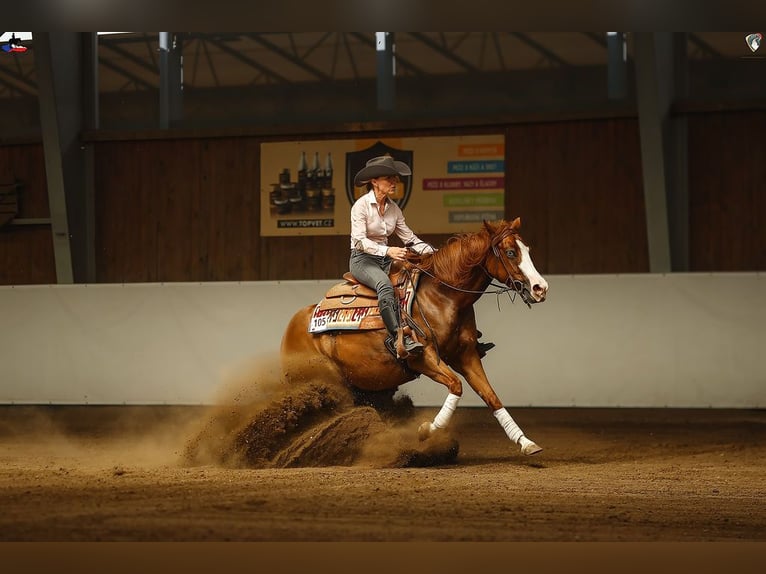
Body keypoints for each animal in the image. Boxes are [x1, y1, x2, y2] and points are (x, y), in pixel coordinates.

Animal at [280, 217, 549, 456]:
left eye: (527, 249)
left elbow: (492, 397)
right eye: (511, 252)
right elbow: (456, 385)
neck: (443, 297)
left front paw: (526, 443)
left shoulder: (466, 355)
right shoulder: (422, 358)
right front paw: (426, 429)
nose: (540, 288)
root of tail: (294, 325)